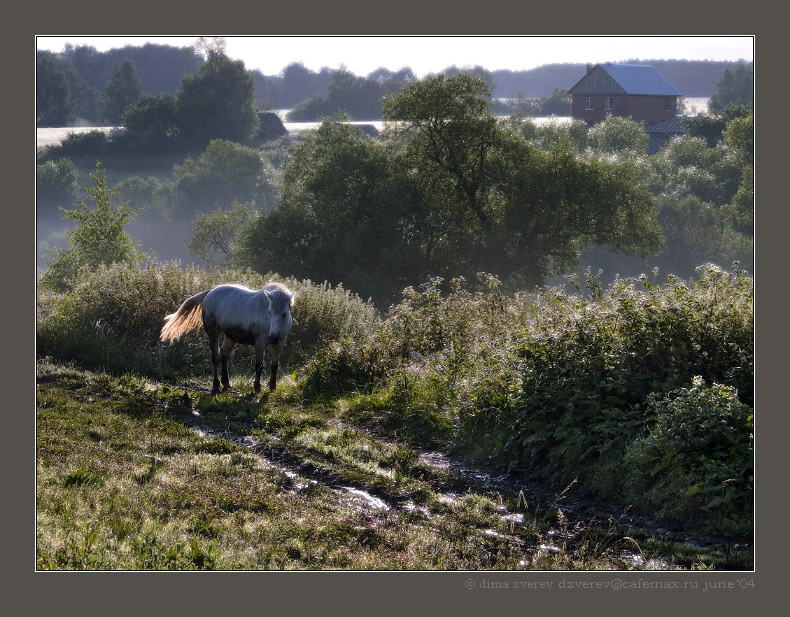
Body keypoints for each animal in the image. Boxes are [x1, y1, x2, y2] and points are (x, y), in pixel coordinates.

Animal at [161, 282, 296, 392]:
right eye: (269, 312)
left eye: (284, 313)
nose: (273, 337)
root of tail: (210, 293)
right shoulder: (260, 343)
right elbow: (259, 365)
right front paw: (257, 388)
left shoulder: (280, 343)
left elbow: (274, 366)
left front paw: (272, 386)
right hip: (213, 333)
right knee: (215, 358)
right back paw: (216, 384)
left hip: (230, 337)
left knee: (224, 355)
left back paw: (226, 382)